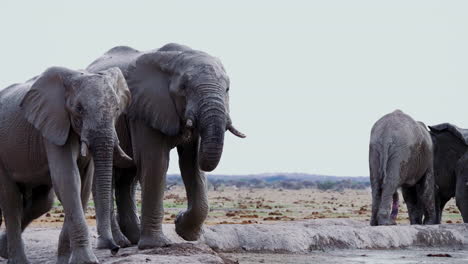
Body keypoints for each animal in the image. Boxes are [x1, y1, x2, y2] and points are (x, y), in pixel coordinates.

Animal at [0, 66, 132, 264]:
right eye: (79, 108)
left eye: (117, 108)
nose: (115, 249)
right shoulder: (55, 125)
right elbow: (68, 179)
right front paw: (86, 261)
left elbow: (83, 184)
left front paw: (65, 260)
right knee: (11, 202)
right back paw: (17, 260)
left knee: (43, 202)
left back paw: (3, 250)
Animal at [88, 43, 249, 250]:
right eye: (184, 88)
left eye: (227, 89)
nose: (177, 216)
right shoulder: (143, 110)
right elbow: (156, 162)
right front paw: (156, 245)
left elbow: (191, 164)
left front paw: (185, 231)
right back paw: (120, 243)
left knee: (128, 178)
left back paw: (133, 239)